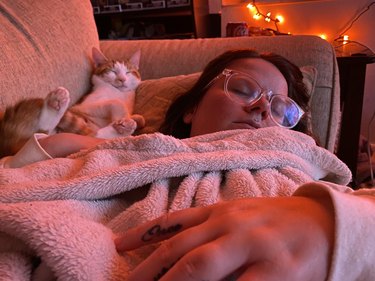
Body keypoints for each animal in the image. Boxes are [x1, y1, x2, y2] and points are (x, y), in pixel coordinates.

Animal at [0, 47, 144, 158]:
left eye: (128, 72)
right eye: (112, 71)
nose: (122, 79)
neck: (119, 93)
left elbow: (139, 117)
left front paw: (133, 118)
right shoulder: (84, 106)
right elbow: (115, 103)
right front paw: (121, 116)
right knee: (88, 134)